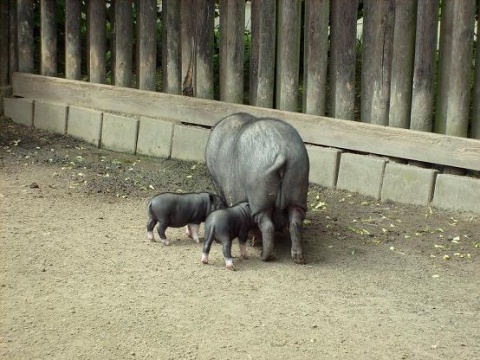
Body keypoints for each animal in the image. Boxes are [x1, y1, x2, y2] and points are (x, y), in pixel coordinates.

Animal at [204, 111, 310, 262]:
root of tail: (282, 152)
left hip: (259, 197)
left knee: (267, 226)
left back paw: (264, 256)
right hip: (298, 185)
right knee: (295, 222)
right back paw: (298, 258)